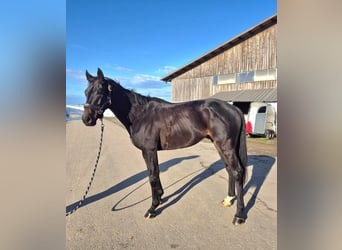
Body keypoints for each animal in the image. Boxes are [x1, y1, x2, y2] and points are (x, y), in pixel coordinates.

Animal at [83, 68, 248, 225]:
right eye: (86, 92)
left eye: (100, 91)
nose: (86, 119)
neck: (139, 115)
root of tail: (234, 109)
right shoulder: (147, 151)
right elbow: (154, 173)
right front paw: (160, 197)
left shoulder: (149, 150)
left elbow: (153, 176)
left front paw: (152, 208)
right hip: (219, 145)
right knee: (229, 170)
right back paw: (228, 199)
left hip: (226, 146)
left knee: (237, 172)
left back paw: (239, 215)